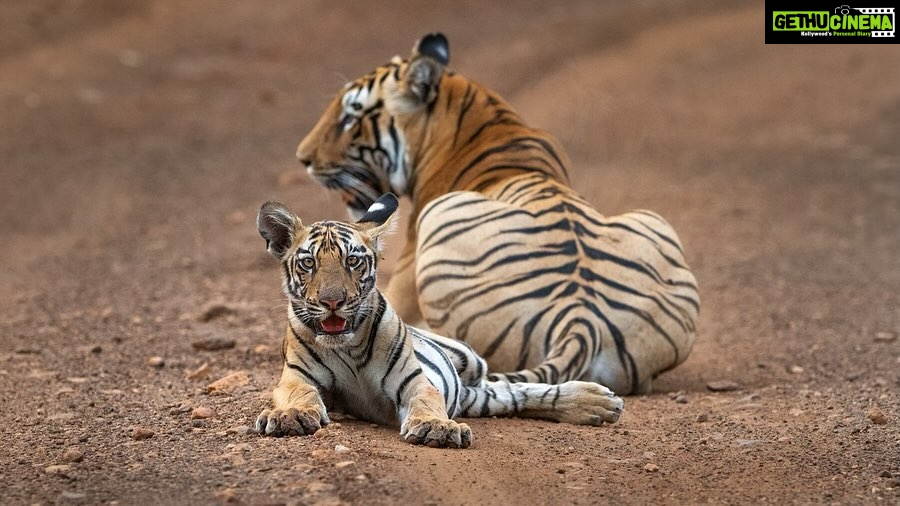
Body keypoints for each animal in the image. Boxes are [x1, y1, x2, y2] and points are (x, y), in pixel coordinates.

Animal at [255, 193, 624, 447]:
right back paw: (593, 405)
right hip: (475, 395)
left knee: (510, 387)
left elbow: (427, 402)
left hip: (469, 360)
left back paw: (597, 402)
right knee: (505, 394)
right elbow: (299, 395)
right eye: (309, 263)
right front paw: (290, 416)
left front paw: (438, 427)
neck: (347, 347)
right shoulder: (296, 378)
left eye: (353, 261)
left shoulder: (415, 380)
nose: (333, 302)